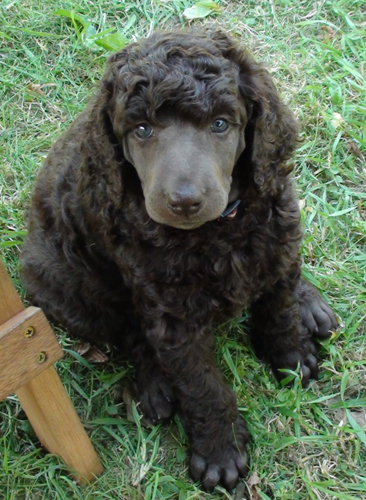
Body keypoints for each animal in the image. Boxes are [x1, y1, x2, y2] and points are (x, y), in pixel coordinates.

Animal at [21, 29, 338, 490]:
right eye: (142, 129)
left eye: (220, 124)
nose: (184, 202)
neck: (215, 232)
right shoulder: (174, 317)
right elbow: (202, 386)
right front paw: (220, 451)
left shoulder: (276, 235)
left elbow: (278, 309)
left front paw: (291, 358)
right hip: (64, 286)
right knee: (127, 330)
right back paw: (155, 388)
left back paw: (309, 304)